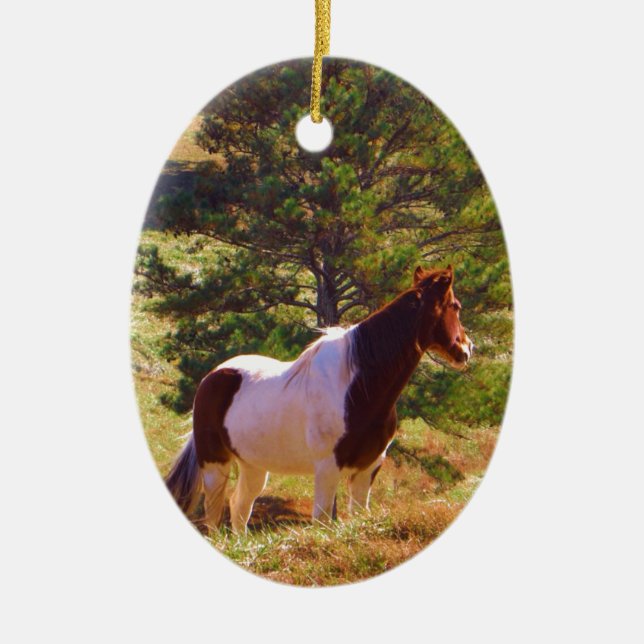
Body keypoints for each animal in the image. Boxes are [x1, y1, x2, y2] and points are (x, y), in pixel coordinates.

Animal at [165, 265, 474, 534]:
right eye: (455, 306)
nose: (468, 348)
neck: (356, 386)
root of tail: (212, 377)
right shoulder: (327, 468)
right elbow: (323, 521)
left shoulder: (369, 467)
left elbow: (358, 515)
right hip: (215, 465)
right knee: (214, 515)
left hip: (253, 467)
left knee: (240, 506)